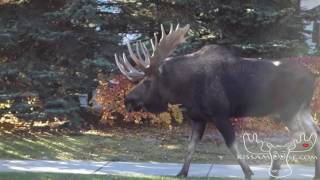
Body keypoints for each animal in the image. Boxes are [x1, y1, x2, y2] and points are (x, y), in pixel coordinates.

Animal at [115, 23, 320, 180]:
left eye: (147, 81)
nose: (128, 99)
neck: (183, 90)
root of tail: (313, 78)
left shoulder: (219, 114)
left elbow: (232, 145)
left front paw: (249, 172)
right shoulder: (198, 118)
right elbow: (190, 147)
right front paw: (181, 172)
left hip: (287, 110)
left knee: (300, 132)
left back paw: (275, 167)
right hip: (303, 110)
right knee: (315, 134)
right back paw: (314, 173)